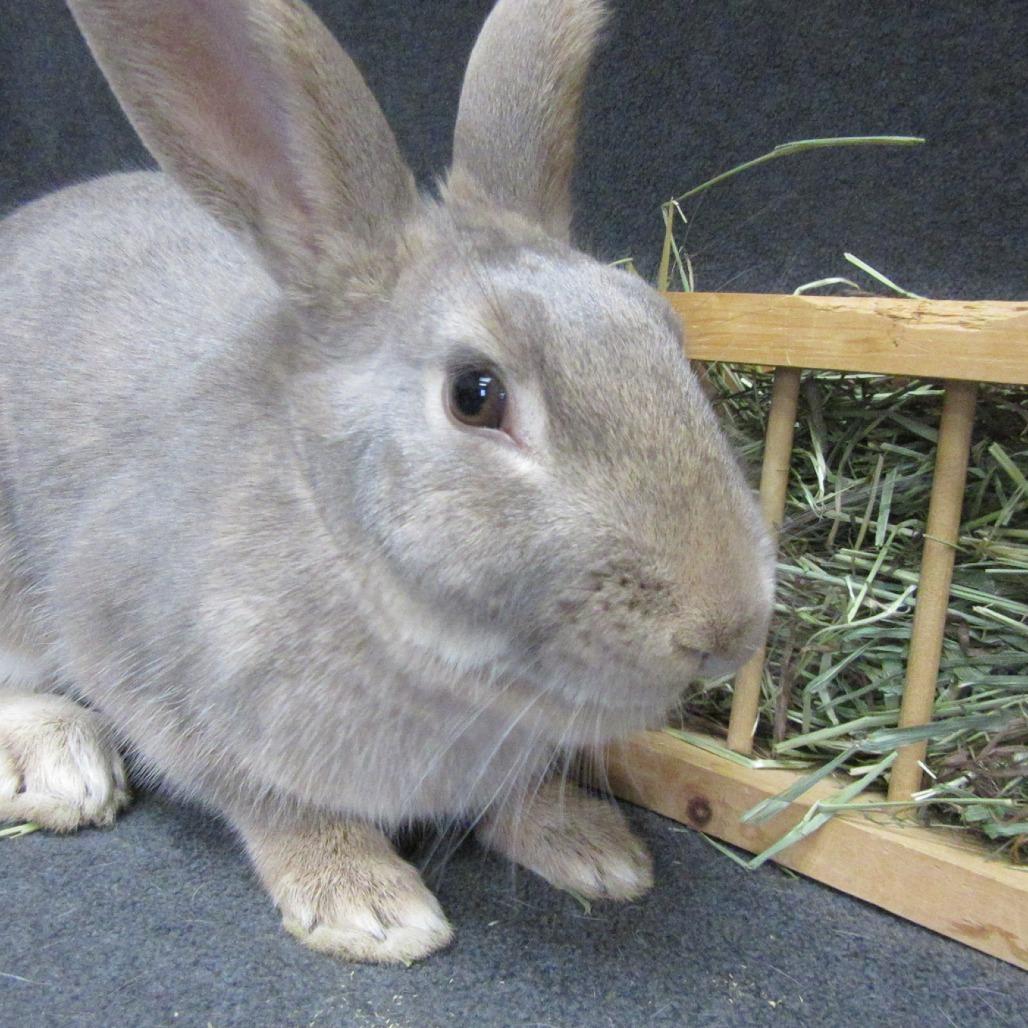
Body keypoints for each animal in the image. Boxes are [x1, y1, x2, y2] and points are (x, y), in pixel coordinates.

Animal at [0, 0, 775, 964]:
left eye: (664, 331)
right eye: (476, 395)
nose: (729, 625)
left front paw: (596, 852)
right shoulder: (154, 668)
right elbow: (273, 804)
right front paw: (368, 908)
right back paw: (60, 764)